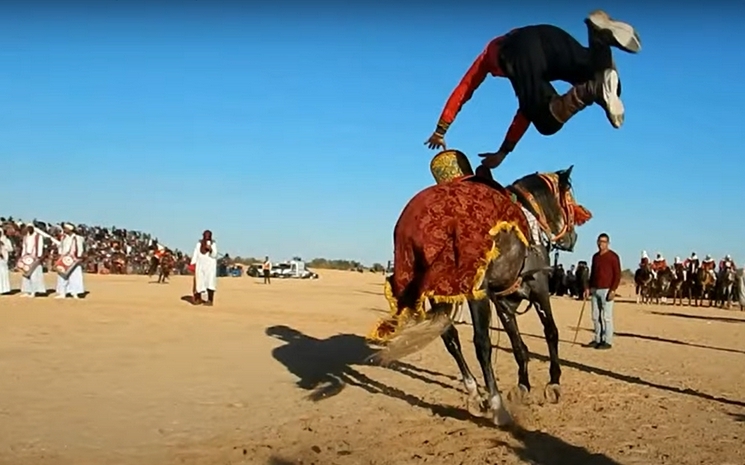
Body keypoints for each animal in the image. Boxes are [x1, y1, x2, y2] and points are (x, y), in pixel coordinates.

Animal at [370, 165, 588, 426]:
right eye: (569, 198)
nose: (572, 238)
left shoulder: (504, 301)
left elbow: (518, 345)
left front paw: (523, 387)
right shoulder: (538, 290)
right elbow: (551, 332)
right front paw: (553, 385)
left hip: (439, 291)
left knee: (451, 339)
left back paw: (475, 394)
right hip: (476, 291)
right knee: (481, 343)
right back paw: (497, 406)